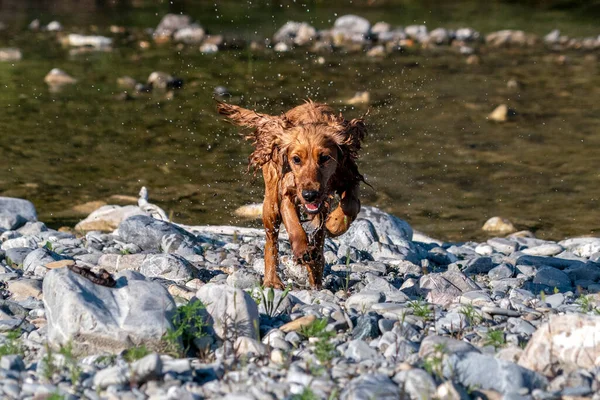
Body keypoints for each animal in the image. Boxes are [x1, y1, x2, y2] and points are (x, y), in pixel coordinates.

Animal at [217, 99, 366, 288]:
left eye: (324, 158)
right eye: (296, 159)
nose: (310, 195)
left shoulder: (348, 174)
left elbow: (351, 205)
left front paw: (334, 224)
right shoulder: (287, 191)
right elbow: (293, 225)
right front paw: (302, 249)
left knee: (319, 242)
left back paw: (315, 269)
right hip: (271, 204)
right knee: (271, 242)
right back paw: (272, 280)